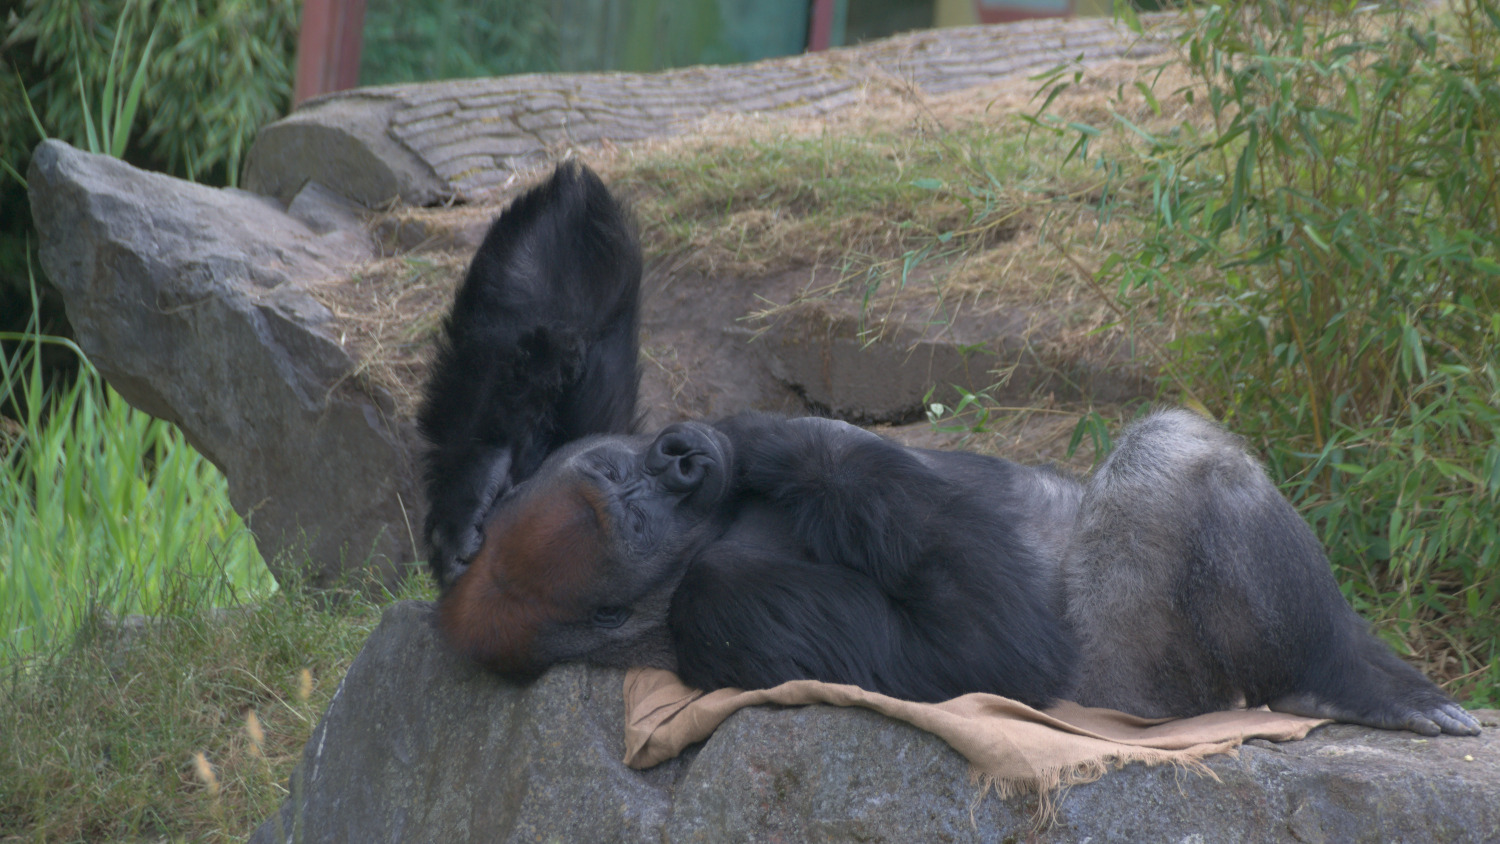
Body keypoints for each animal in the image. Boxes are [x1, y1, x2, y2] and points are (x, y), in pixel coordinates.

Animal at [417, 161, 1482, 737]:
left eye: (626, 472)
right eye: (634, 511)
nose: (676, 457)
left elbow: (568, 302)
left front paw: (467, 496)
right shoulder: (726, 612)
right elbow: (984, 650)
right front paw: (791, 439)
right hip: (1158, 692)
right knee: (1170, 460)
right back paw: (1345, 675)